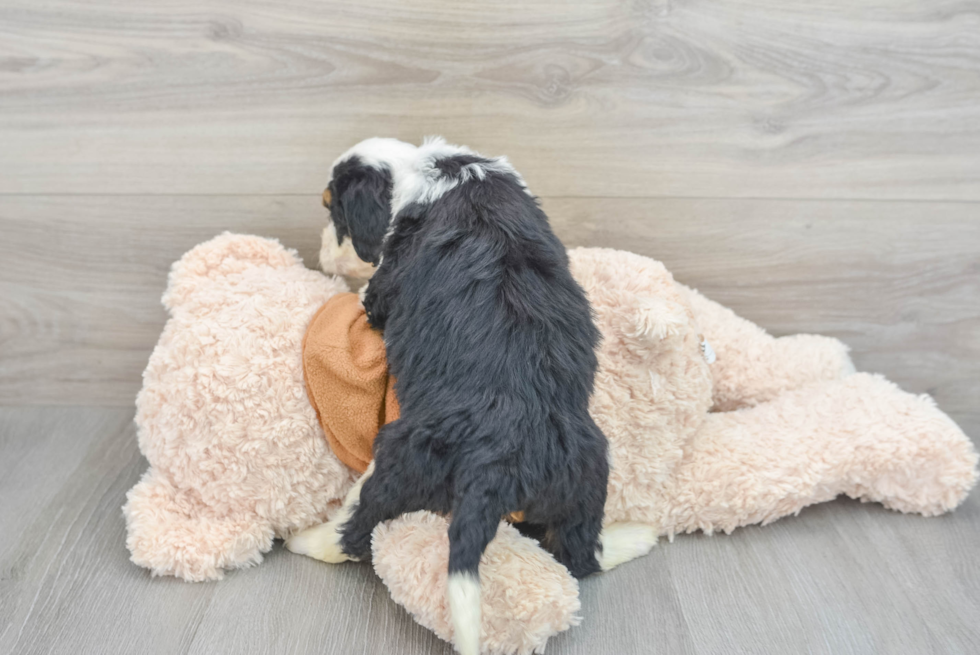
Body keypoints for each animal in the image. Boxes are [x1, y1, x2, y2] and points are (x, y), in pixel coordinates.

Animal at [284, 138, 652, 655]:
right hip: (587, 468)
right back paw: (635, 536)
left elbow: (370, 299)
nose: (319, 256)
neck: (432, 172)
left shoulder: (383, 290)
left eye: (331, 208)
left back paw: (305, 540)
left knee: (355, 530)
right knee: (580, 553)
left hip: (400, 456)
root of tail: (498, 464)